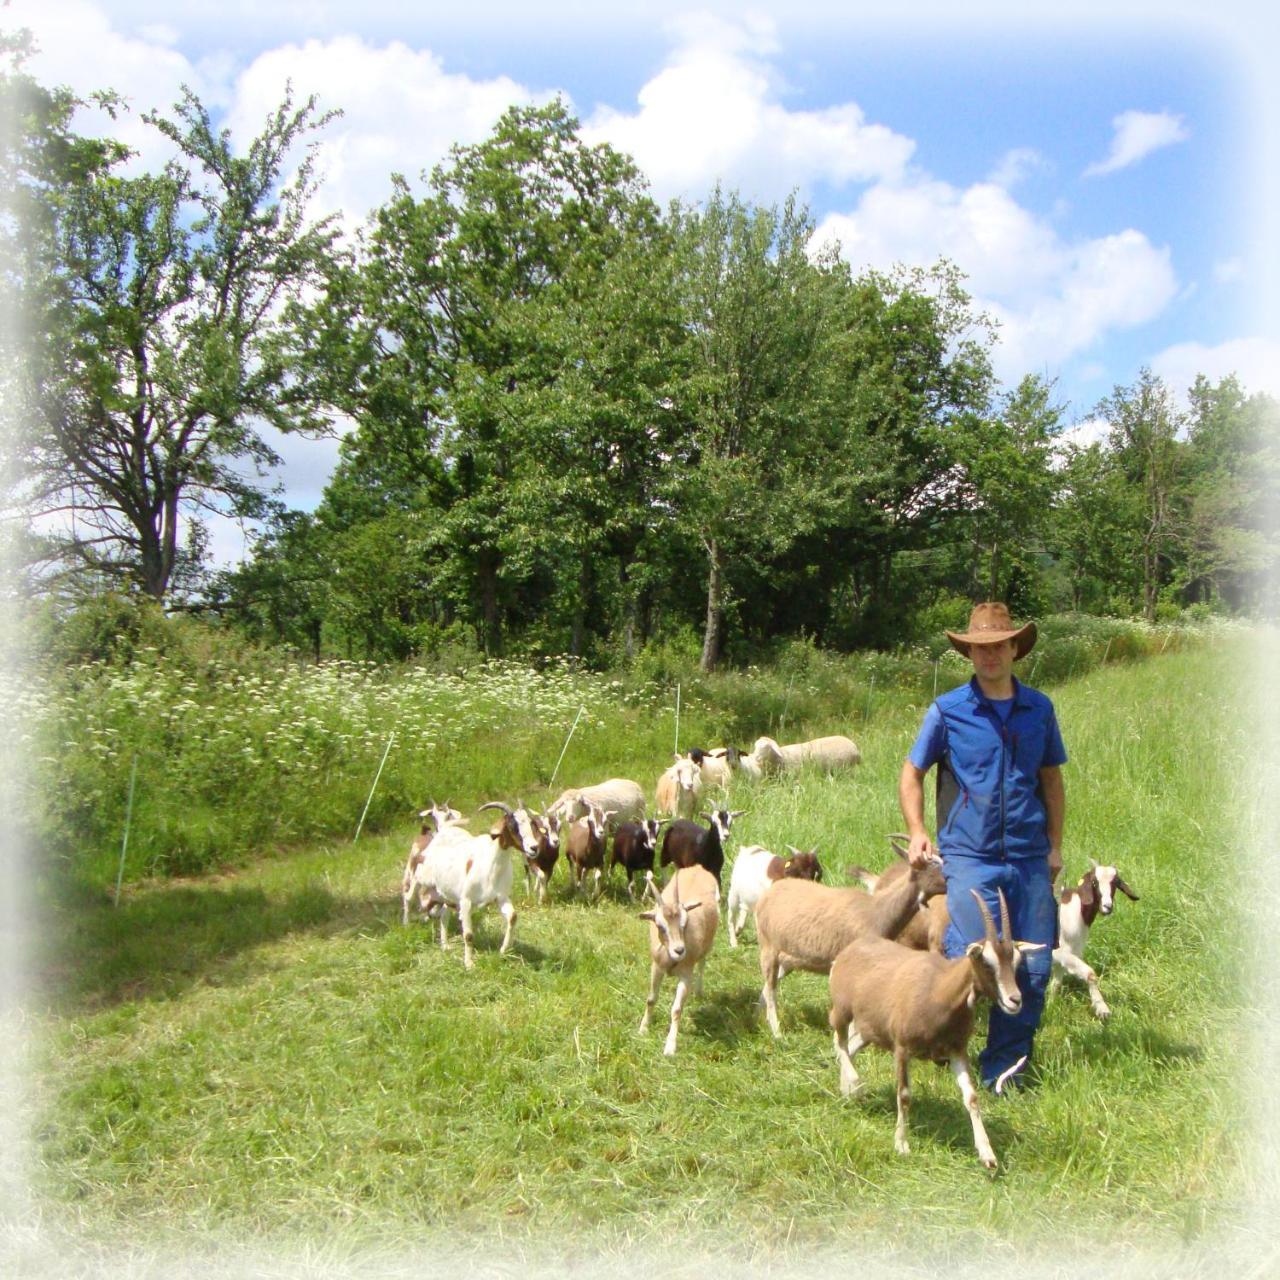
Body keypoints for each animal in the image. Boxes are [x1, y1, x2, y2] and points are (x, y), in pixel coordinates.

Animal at [637, 865, 721, 1054]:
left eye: (685, 923)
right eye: (660, 926)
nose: (679, 950)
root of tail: (698, 867)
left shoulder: (686, 975)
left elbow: (676, 1009)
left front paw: (670, 1046)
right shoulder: (656, 967)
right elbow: (651, 999)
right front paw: (643, 1029)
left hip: (709, 943)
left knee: (703, 963)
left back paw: (699, 991)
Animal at [747, 849, 952, 1039]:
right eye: (934, 864)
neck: (875, 911)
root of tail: (769, 893)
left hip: (788, 957)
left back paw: (757, 1018)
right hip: (768, 947)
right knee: (771, 988)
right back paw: (777, 1034)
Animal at [829, 890, 1039, 1172]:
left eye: (1015, 962)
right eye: (985, 961)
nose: (1014, 1000)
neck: (939, 989)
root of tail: (849, 951)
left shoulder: (956, 1050)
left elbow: (972, 1097)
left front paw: (988, 1155)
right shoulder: (902, 1049)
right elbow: (904, 1095)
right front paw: (902, 1144)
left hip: (869, 1028)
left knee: (850, 1046)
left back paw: (848, 1091)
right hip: (841, 1011)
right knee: (838, 1042)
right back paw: (854, 1084)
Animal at [1049, 860, 1141, 1018]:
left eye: (1115, 882)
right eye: (1094, 882)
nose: (1107, 906)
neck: (1076, 910)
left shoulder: (1068, 954)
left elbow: (1056, 984)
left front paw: (1050, 1005)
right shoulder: (1058, 952)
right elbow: (1090, 973)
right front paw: (1102, 1008)